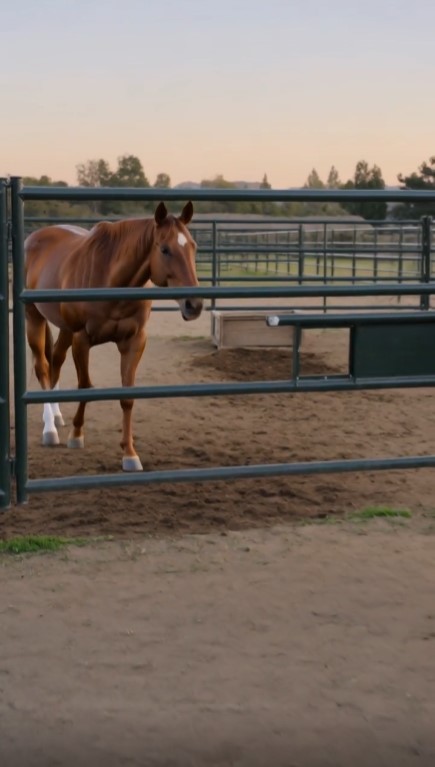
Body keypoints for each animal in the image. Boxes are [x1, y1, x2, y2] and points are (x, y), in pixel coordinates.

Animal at [24, 201, 203, 472]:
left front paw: (129, 454)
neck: (110, 278)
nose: (194, 305)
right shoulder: (82, 339)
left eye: (193, 246)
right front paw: (76, 435)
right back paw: (49, 429)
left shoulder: (134, 342)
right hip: (34, 317)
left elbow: (127, 397)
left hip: (64, 329)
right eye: (165, 249)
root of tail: (34, 237)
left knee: (56, 361)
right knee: (43, 367)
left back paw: (56, 416)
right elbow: (85, 386)